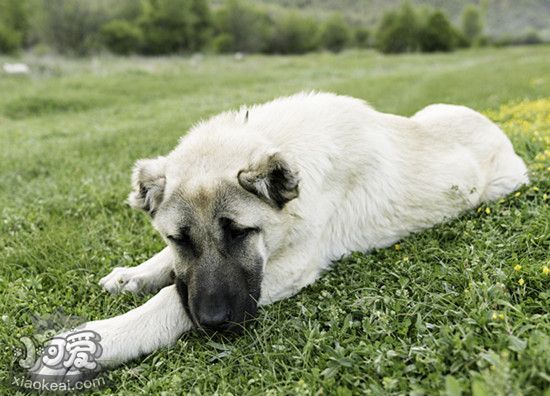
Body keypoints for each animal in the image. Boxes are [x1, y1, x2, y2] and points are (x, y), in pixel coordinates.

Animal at [33, 92, 532, 380]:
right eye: (180, 238)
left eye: (240, 232)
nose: (213, 322)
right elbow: (169, 271)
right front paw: (133, 274)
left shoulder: (292, 266)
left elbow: (170, 301)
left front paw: (97, 341)